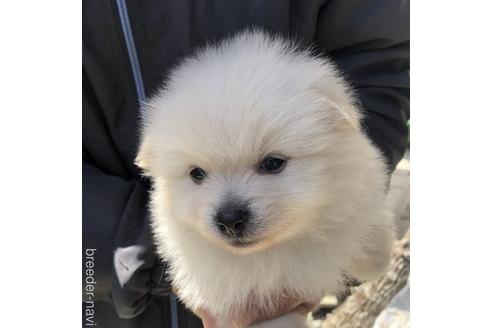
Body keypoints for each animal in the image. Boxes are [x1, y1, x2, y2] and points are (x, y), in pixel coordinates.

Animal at [135, 30, 396, 326]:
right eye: (196, 174)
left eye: (272, 163)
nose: (229, 219)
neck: (276, 249)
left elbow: (363, 219)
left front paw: (376, 259)